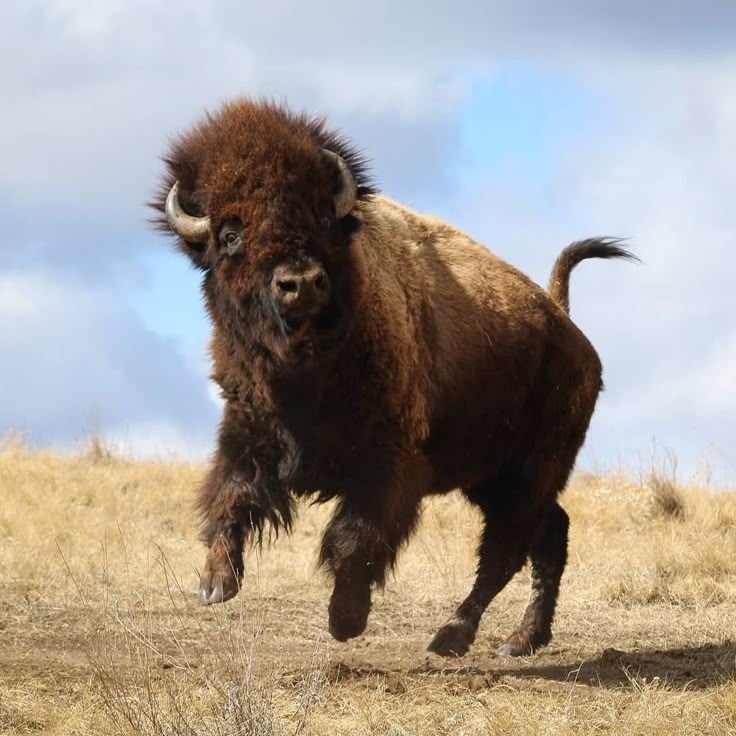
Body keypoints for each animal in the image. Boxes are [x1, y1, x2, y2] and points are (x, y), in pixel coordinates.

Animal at [155, 98, 640, 656]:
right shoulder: (247, 427)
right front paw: (215, 584)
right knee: (549, 534)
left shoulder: (387, 461)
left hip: (528, 471)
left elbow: (353, 538)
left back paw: (452, 635)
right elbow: (231, 494)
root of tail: (565, 322)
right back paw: (521, 639)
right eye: (230, 234)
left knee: (507, 550)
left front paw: (346, 619)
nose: (301, 282)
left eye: (322, 216)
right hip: (494, 474)